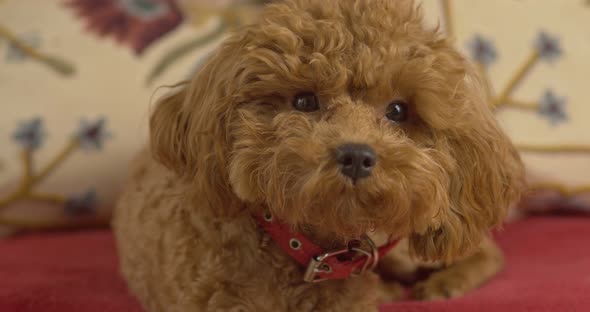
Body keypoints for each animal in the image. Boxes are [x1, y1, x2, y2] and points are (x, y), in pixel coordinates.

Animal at [113, 1, 524, 310]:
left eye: (398, 110)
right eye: (303, 101)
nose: (356, 156)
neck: (303, 252)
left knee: (488, 252)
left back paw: (445, 283)